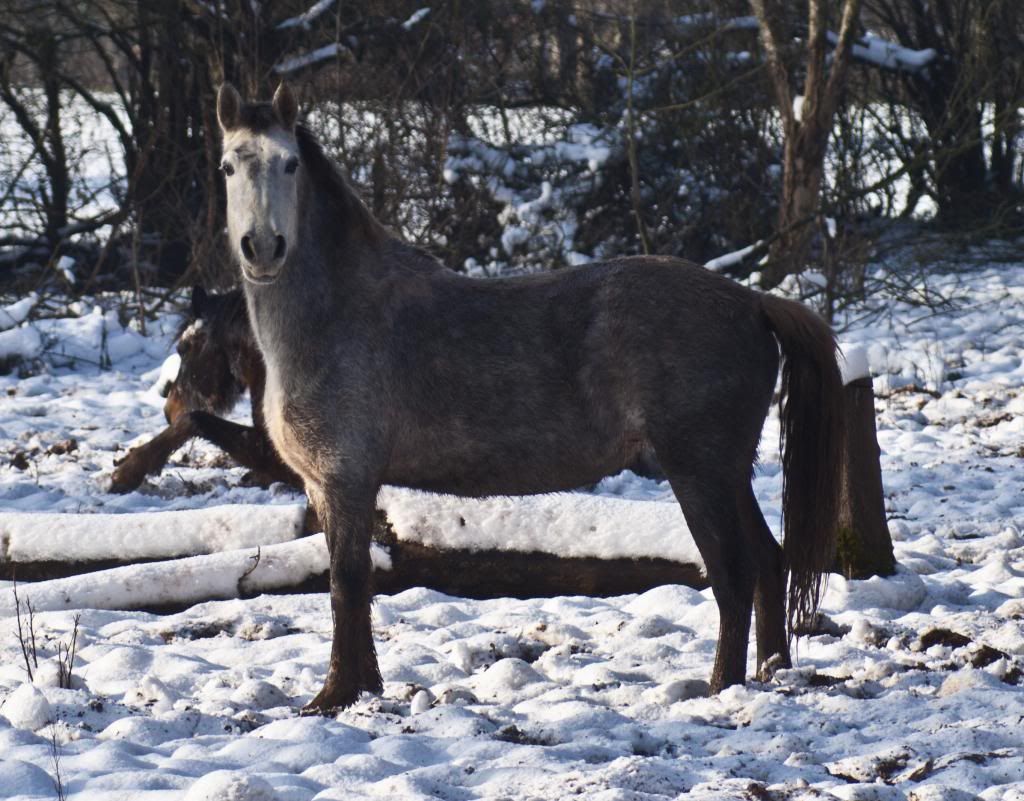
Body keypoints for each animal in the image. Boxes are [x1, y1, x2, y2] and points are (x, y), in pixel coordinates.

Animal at [218, 82, 847, 717]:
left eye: (290, 164)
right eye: (227, 166)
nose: (263, 248)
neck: (337, 316)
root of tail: (752, 301)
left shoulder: (345, 481)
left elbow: (345, 585)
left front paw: (336, 696)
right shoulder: (329, 488)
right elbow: (354, 584)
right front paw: (362, 686)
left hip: (700, 471)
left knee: (733, 574)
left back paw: (722, 687)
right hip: (728, 472)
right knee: (769, 560)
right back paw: (771, 671)